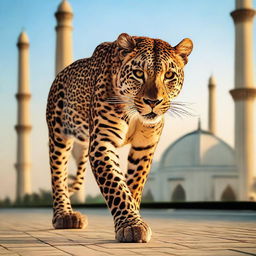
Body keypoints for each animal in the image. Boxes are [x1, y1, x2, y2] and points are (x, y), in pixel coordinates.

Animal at [46, 33, 192, 243]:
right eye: (138, 73)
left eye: (169, 75)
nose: (153, 102)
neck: (133, 113)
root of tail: (61, 73)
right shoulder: (102, 142)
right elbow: (115, 185)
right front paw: (131, 225)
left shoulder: (145, 146)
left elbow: (134, 184)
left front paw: (132, 217)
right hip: (58, 135)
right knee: (59, 175)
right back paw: (64, 215)